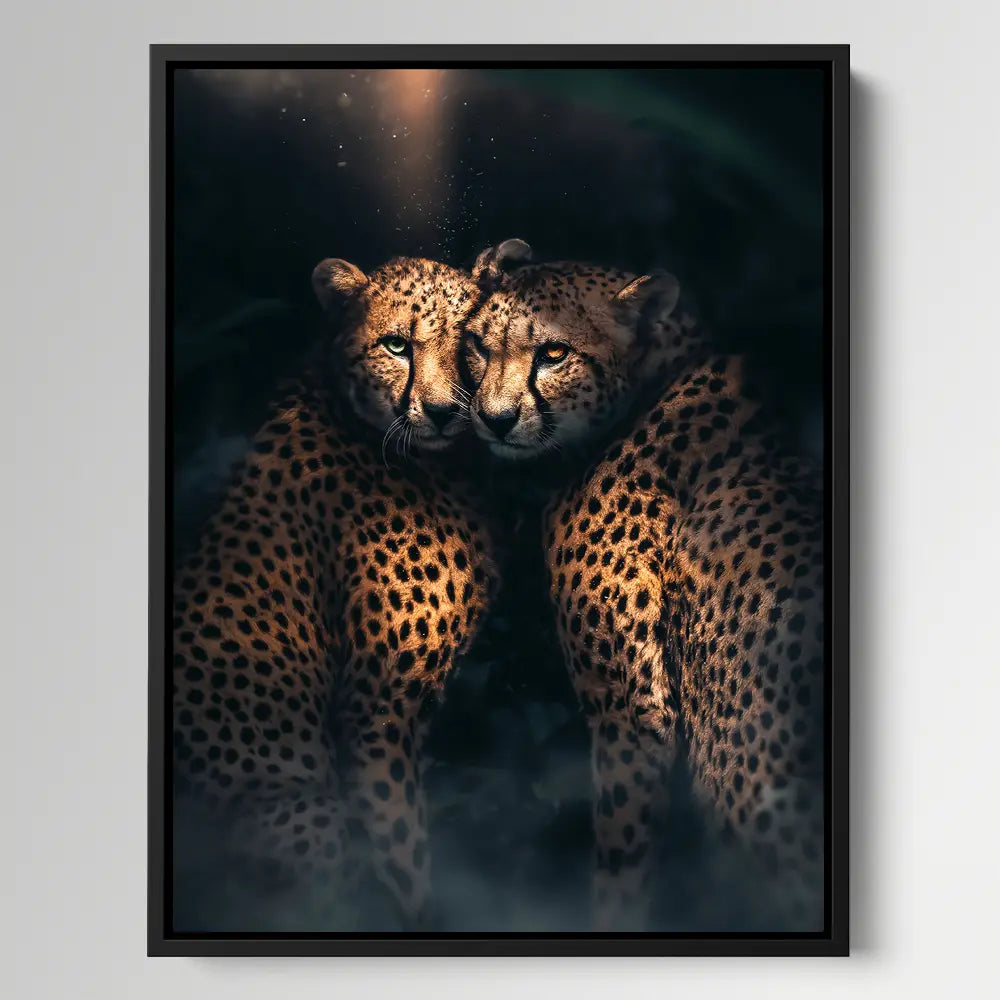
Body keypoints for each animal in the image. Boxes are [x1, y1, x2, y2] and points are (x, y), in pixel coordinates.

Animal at [172, 254, 497, 930]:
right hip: (302, 811)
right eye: (397, 346)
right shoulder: (377, 712)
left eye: (471, 345)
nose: (443, 411)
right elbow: (402, 853)